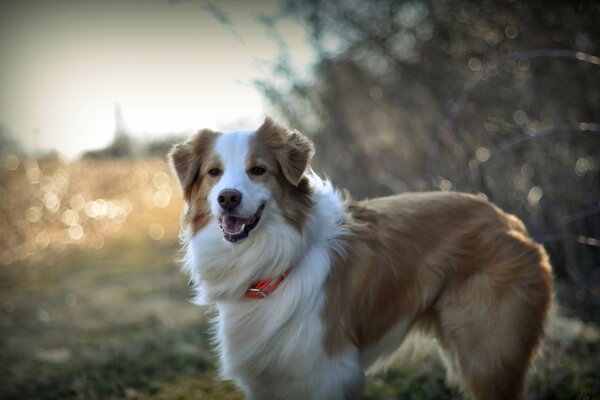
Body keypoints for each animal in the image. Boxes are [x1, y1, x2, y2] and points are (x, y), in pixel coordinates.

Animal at [169, 119, 552, 400]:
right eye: (214, 173)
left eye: (258, 170)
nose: (228, 198)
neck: (273, 259)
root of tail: (506, 218)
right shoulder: (268, 376)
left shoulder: (326, 372)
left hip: (487, 356)